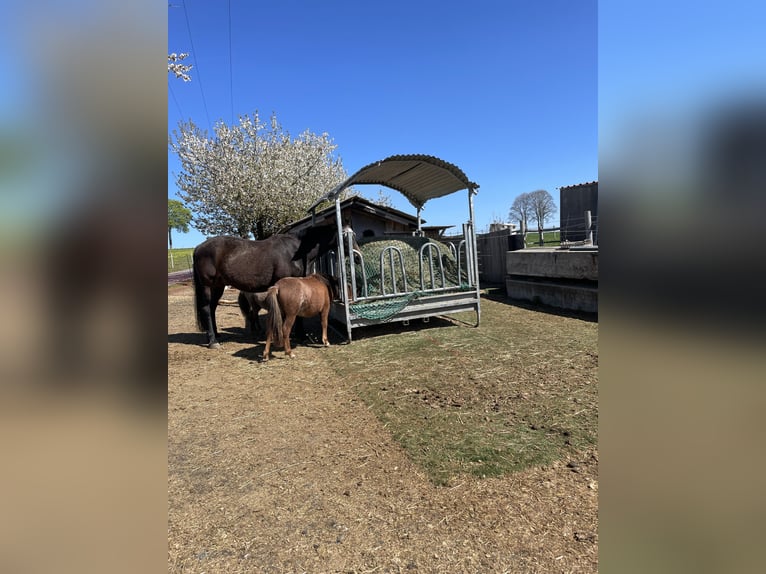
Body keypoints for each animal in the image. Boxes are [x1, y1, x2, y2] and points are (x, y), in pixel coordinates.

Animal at [193, 224, 356, 348]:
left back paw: (216, 335)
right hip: (207, 286)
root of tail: (198, 248)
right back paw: (213, 341)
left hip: (218, 287)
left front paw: (300, 335)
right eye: (346, 236)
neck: (294, 252)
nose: (356, 255)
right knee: (206, 309)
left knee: (212, 308)